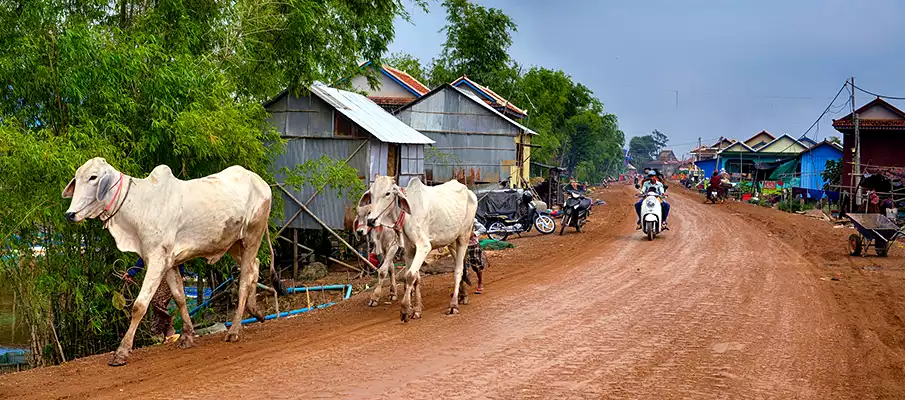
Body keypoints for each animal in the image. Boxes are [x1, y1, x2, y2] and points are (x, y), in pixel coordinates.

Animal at [61, 156, 280, 366]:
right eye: (77, 178)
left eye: (93, 177)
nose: (70, 214)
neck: (138, 205)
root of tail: (260, 181)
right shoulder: (169, 263)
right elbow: (179, 298)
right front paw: (187, 337)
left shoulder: (157, 260)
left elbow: (139, 306)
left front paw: (121, 352)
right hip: (235, 243)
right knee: (255, 267)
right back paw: (256, 311)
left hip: (252, 236)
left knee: (244, 279)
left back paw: (234, 330)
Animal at [356, 175, 476, 322]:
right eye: (371, 194)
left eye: (388, 193)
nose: (371, 220)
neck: (407, 215)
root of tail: (469, 191)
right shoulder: (409, 250)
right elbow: (416, 278)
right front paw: (417, 309)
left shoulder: (423, 246)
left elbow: (409, 276)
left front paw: (405, 309)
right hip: (452, 241)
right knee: (461, 266)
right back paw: (463, 295)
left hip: (464, 236)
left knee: (458, 270)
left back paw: (453, 305)